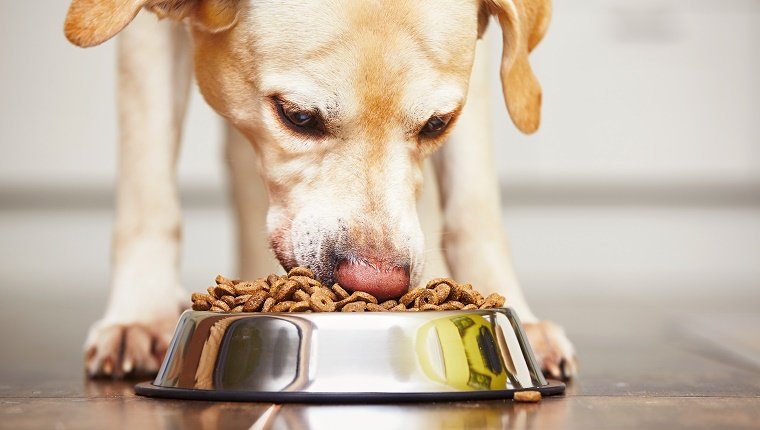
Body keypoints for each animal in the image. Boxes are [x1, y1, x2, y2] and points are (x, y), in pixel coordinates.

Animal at [65, 0, 576, 380]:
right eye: (297, 116)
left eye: (436, 124)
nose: (376, 282)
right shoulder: (142, 41)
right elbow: (148, 185)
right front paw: (141, 315)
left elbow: (475, 204)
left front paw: (516, 312)